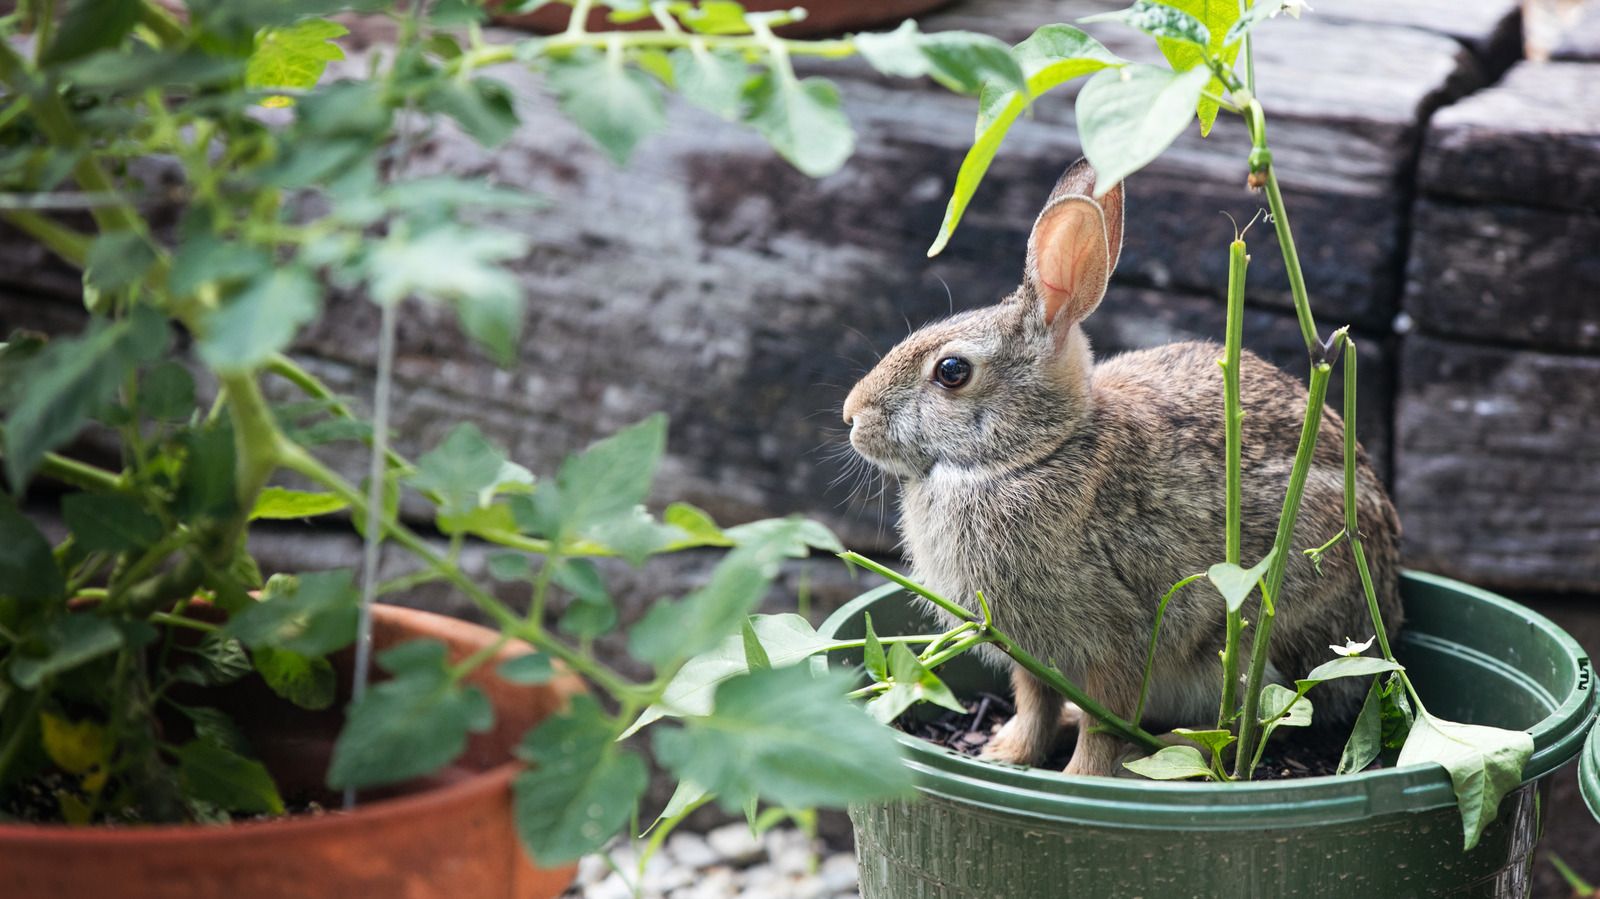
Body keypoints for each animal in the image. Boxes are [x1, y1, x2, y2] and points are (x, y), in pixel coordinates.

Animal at [841, 158, 1402, 777]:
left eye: (952, 371)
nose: (851, 416)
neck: (1036, 452)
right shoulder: (1030, 651)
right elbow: (1033, 701)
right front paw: (1007, 755)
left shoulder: (1120, 638)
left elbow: (1104, 721)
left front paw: (1078, 777)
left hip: (1267, 633)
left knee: (1257, 723)